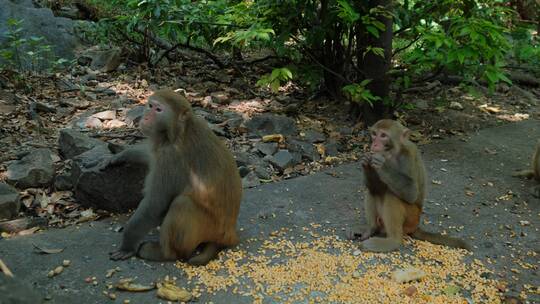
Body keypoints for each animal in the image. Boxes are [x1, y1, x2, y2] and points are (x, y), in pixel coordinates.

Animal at [104, 89, 243, 264]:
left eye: (158, 110)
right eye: (150, 106)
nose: (146, 117)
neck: (177, 132)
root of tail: (229, 236)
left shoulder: (170, 157)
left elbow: (155, 205)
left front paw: (127, 245)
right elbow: (150, 155)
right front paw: (122, 154)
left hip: (210, 229)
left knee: (182, 203)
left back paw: (166, 254)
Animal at [352, 119, 470, 252]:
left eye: (383, 135)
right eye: (374, 134)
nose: (375, 144)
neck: (391, 153)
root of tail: (416, 225)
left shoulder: (408, 157)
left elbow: (411, 192)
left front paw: (381, 165)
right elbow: (375, 187)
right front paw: (366, 161)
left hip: (411, 219)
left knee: (392, 196)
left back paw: (393, 241)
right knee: (374, 191)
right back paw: (371, 229)